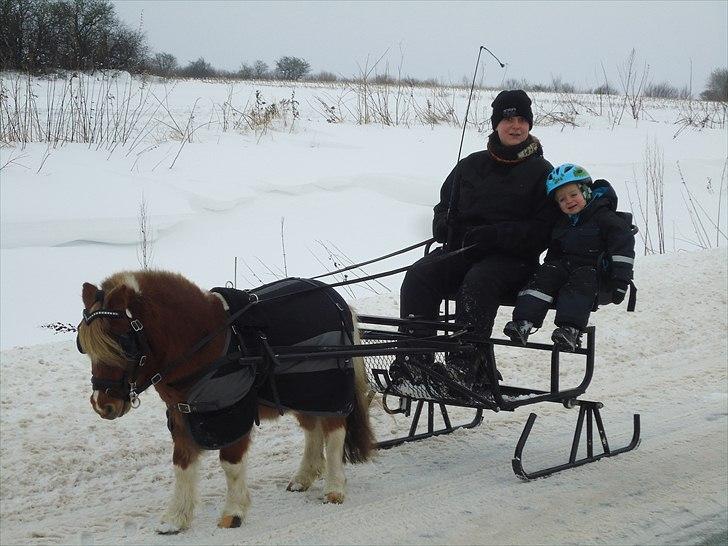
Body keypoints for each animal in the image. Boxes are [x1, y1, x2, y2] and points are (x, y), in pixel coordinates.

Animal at [77, 270, 376, 532]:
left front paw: (233, 512)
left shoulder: (232, 414)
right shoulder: (184, 415)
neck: (206, 342)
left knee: (334, 433)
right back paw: (304, 477)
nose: (102, 404)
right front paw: (175, 518)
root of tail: (333, 297)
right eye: (85, 345)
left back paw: (334, 487)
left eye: (122, 344)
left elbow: (230, 465)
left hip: (328, 389)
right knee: (312, 429)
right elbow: (182, 464)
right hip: (302, 391)